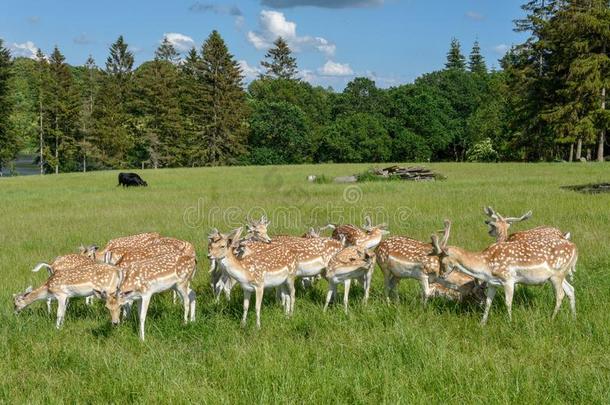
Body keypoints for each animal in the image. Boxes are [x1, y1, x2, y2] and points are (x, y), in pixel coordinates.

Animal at [428, 219, 576, 324]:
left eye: (442, 260)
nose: (441, 274)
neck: (486, 266)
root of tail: (575, 249)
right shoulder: (492, 283)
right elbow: (488, 302)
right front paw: (482, 323)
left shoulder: (509, 279)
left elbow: (508, 302)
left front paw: (509, 322)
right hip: (560, 276)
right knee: (571, 289)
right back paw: (573, 316)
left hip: (557, 274)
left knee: (560, 295)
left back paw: (552, 318)